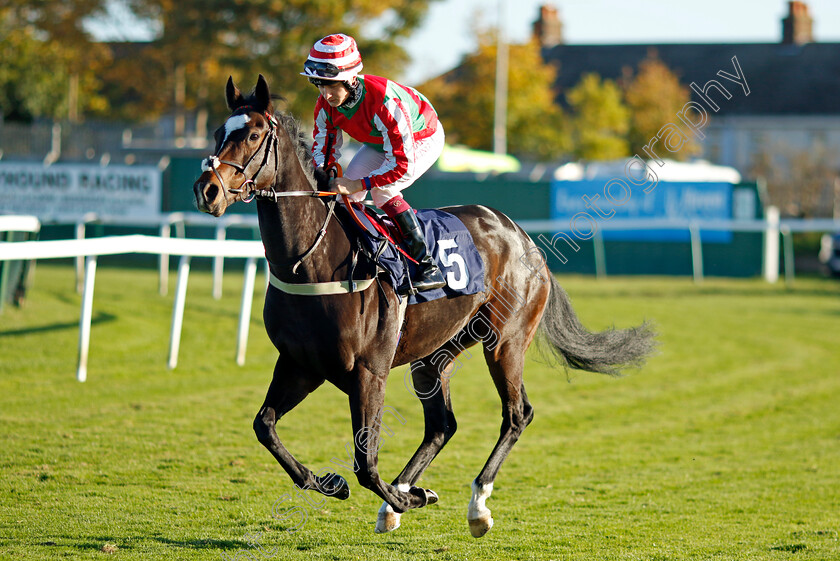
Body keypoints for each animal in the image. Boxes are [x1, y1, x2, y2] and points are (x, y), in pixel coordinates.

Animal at [192, 75, 656, 540]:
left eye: (253, 134)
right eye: (217, 133)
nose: (206, 190)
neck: (313, 260)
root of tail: (523, 237)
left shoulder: (369, 371)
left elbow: (365, 462)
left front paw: (411, 497)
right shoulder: (300, 364)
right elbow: (265, 426)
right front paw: (331, 483)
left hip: (505, 341)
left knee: (516, 414)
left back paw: (475, 504)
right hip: (435, 354)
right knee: (442, 425)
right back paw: (401, 498)